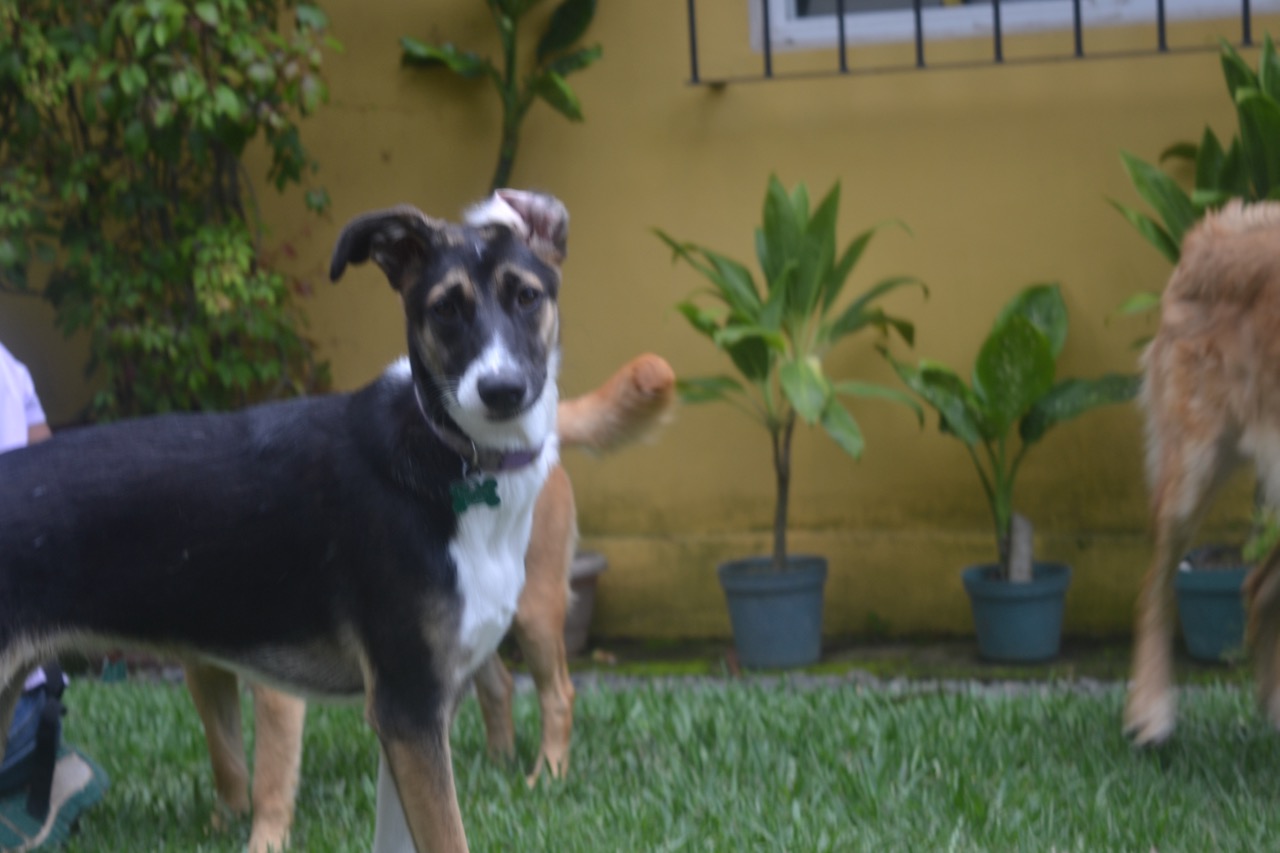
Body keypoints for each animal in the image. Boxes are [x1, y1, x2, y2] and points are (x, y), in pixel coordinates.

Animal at [0, 188, 572, 852]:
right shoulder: (407, 705)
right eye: (446, 308)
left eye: (526, 295)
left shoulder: (419, 710)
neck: (452, 457)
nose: (501, 390)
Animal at [188, 352, 675, 853]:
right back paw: (496, 763)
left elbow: (269, 773)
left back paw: (547, 774)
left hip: (532, 613)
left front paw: (262, 838)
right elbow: (226, 758)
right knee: (498, 685)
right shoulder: (203, 671)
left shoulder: (278, 690)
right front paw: (221, 824)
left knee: (558, 694)